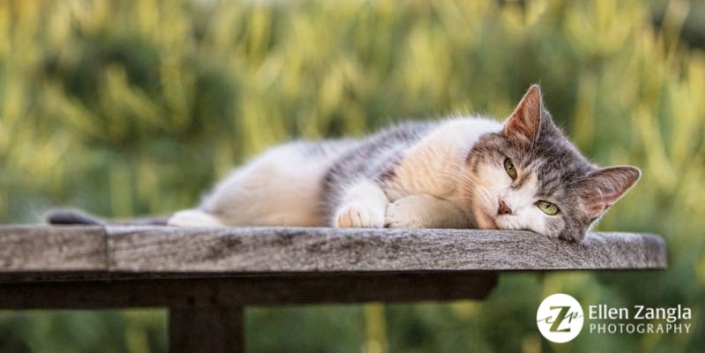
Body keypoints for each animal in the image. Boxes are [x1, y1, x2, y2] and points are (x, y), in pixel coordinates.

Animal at [45, 84, 640, 241]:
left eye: (547, 206)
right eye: (512, 170)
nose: (505, 204)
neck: (460, 189)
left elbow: (452, 216)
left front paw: (409, 214)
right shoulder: (383, 161)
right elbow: (365, 185)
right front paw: (365, 213)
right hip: (271, 177)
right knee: (222, 211)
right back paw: (193, 219)